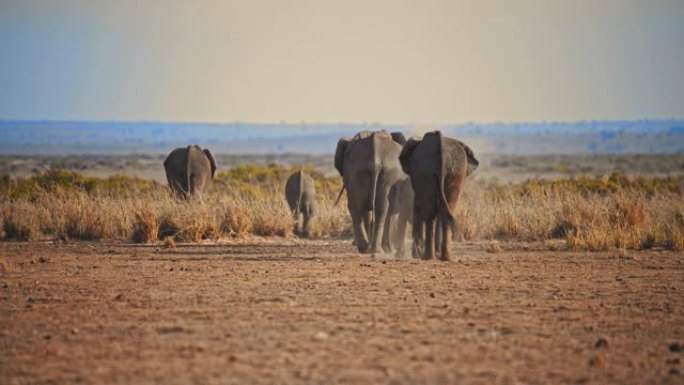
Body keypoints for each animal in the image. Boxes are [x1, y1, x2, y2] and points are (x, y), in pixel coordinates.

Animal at [398, 130, 478, 260]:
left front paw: (417, 254)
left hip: (449, 172)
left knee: (434, 213)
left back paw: (431, 257)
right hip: (449, 173)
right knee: (443, 211)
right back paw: (441, 257)